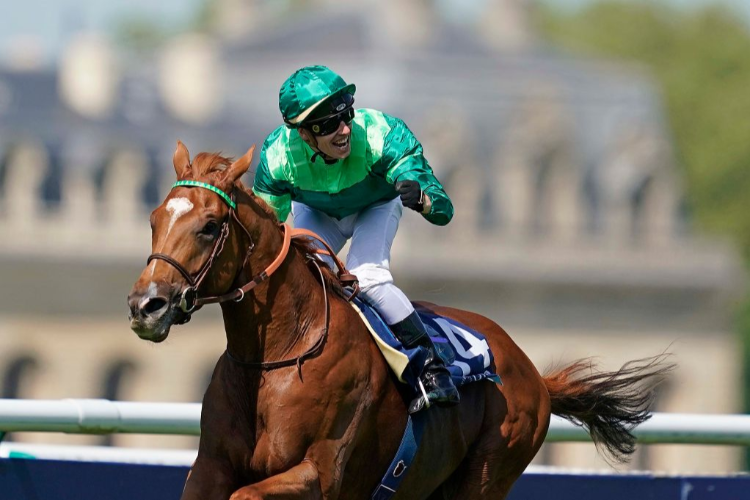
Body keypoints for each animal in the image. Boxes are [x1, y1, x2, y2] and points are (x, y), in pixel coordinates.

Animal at [129, 142, 676, 500]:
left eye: (209, 226)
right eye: (154, 219)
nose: (144, 305)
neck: (279, 354)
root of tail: (533, 375)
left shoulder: (319, 474)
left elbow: (251, 493)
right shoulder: (209, 467)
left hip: (487, 474)